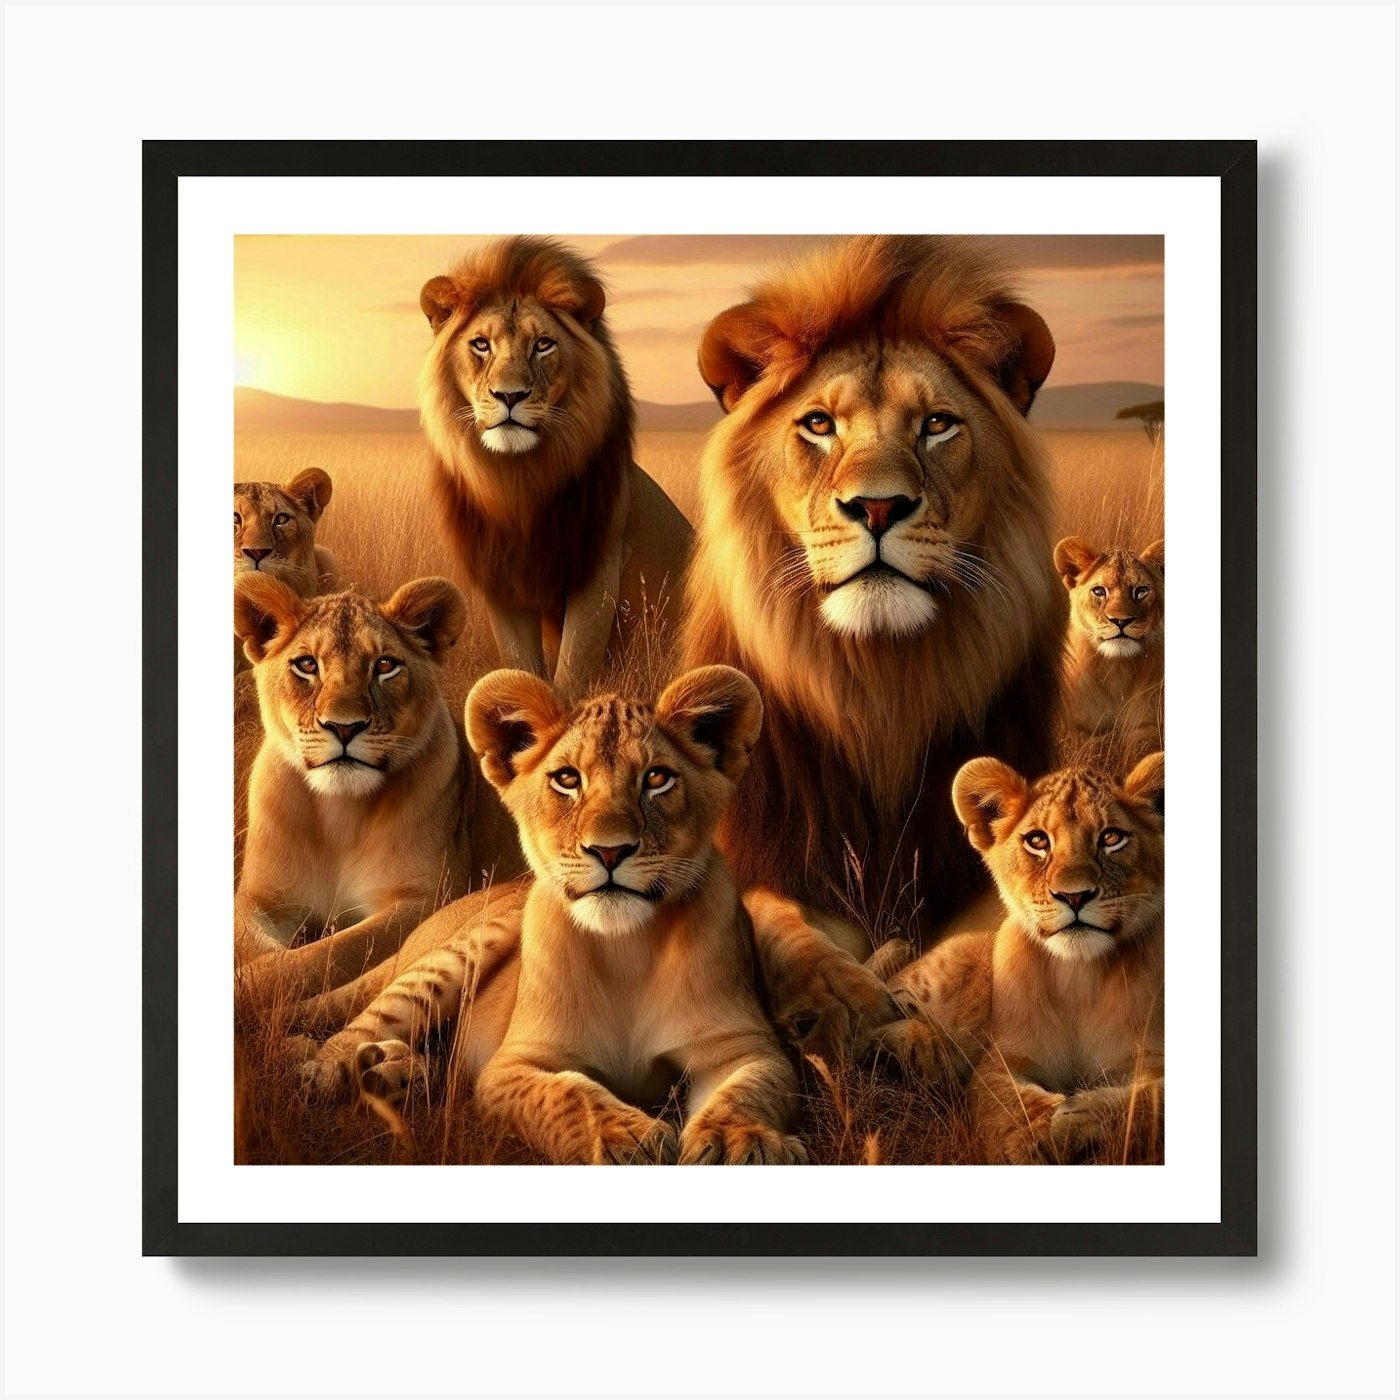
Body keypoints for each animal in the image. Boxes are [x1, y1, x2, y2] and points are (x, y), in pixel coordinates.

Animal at [233, 572, 474, 1008]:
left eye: (385, 665)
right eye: (307, 664)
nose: (344, 727)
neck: (339, 813)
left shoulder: (426, 899)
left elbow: (326, 955)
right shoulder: (259, 899)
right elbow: (256, 947)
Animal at [418, 236, 693, 694]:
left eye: (543, 344)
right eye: (481, 344)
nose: (509, 395)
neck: (518, 483)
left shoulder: (599, 565)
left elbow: (573, 669)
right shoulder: (500, 576)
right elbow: (520, 664)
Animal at [682, 235, 1067, 1047]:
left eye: (938, 424)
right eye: (819, 424)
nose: (879, 506)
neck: (879, 687)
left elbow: (981, 938)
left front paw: (921, 1023)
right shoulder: (771, 855)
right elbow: (779, 922)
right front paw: (845, 1000)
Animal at [867, 752, 1165, 1164]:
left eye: (1111, 838)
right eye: (1037, 841)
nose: (1074, 896)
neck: (1079, 977)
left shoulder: (1152, 1056)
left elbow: (1152, 1101)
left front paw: (1081, 1122)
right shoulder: (1002, 1060)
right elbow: (1010, 1105)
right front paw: (1040, 1134)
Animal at [1054, 536, 1165, 761]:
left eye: (1141, 591)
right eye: (1099, 591)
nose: (1120, 621)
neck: (1117, 670)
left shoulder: (1148, 726)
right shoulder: (1079, 729)